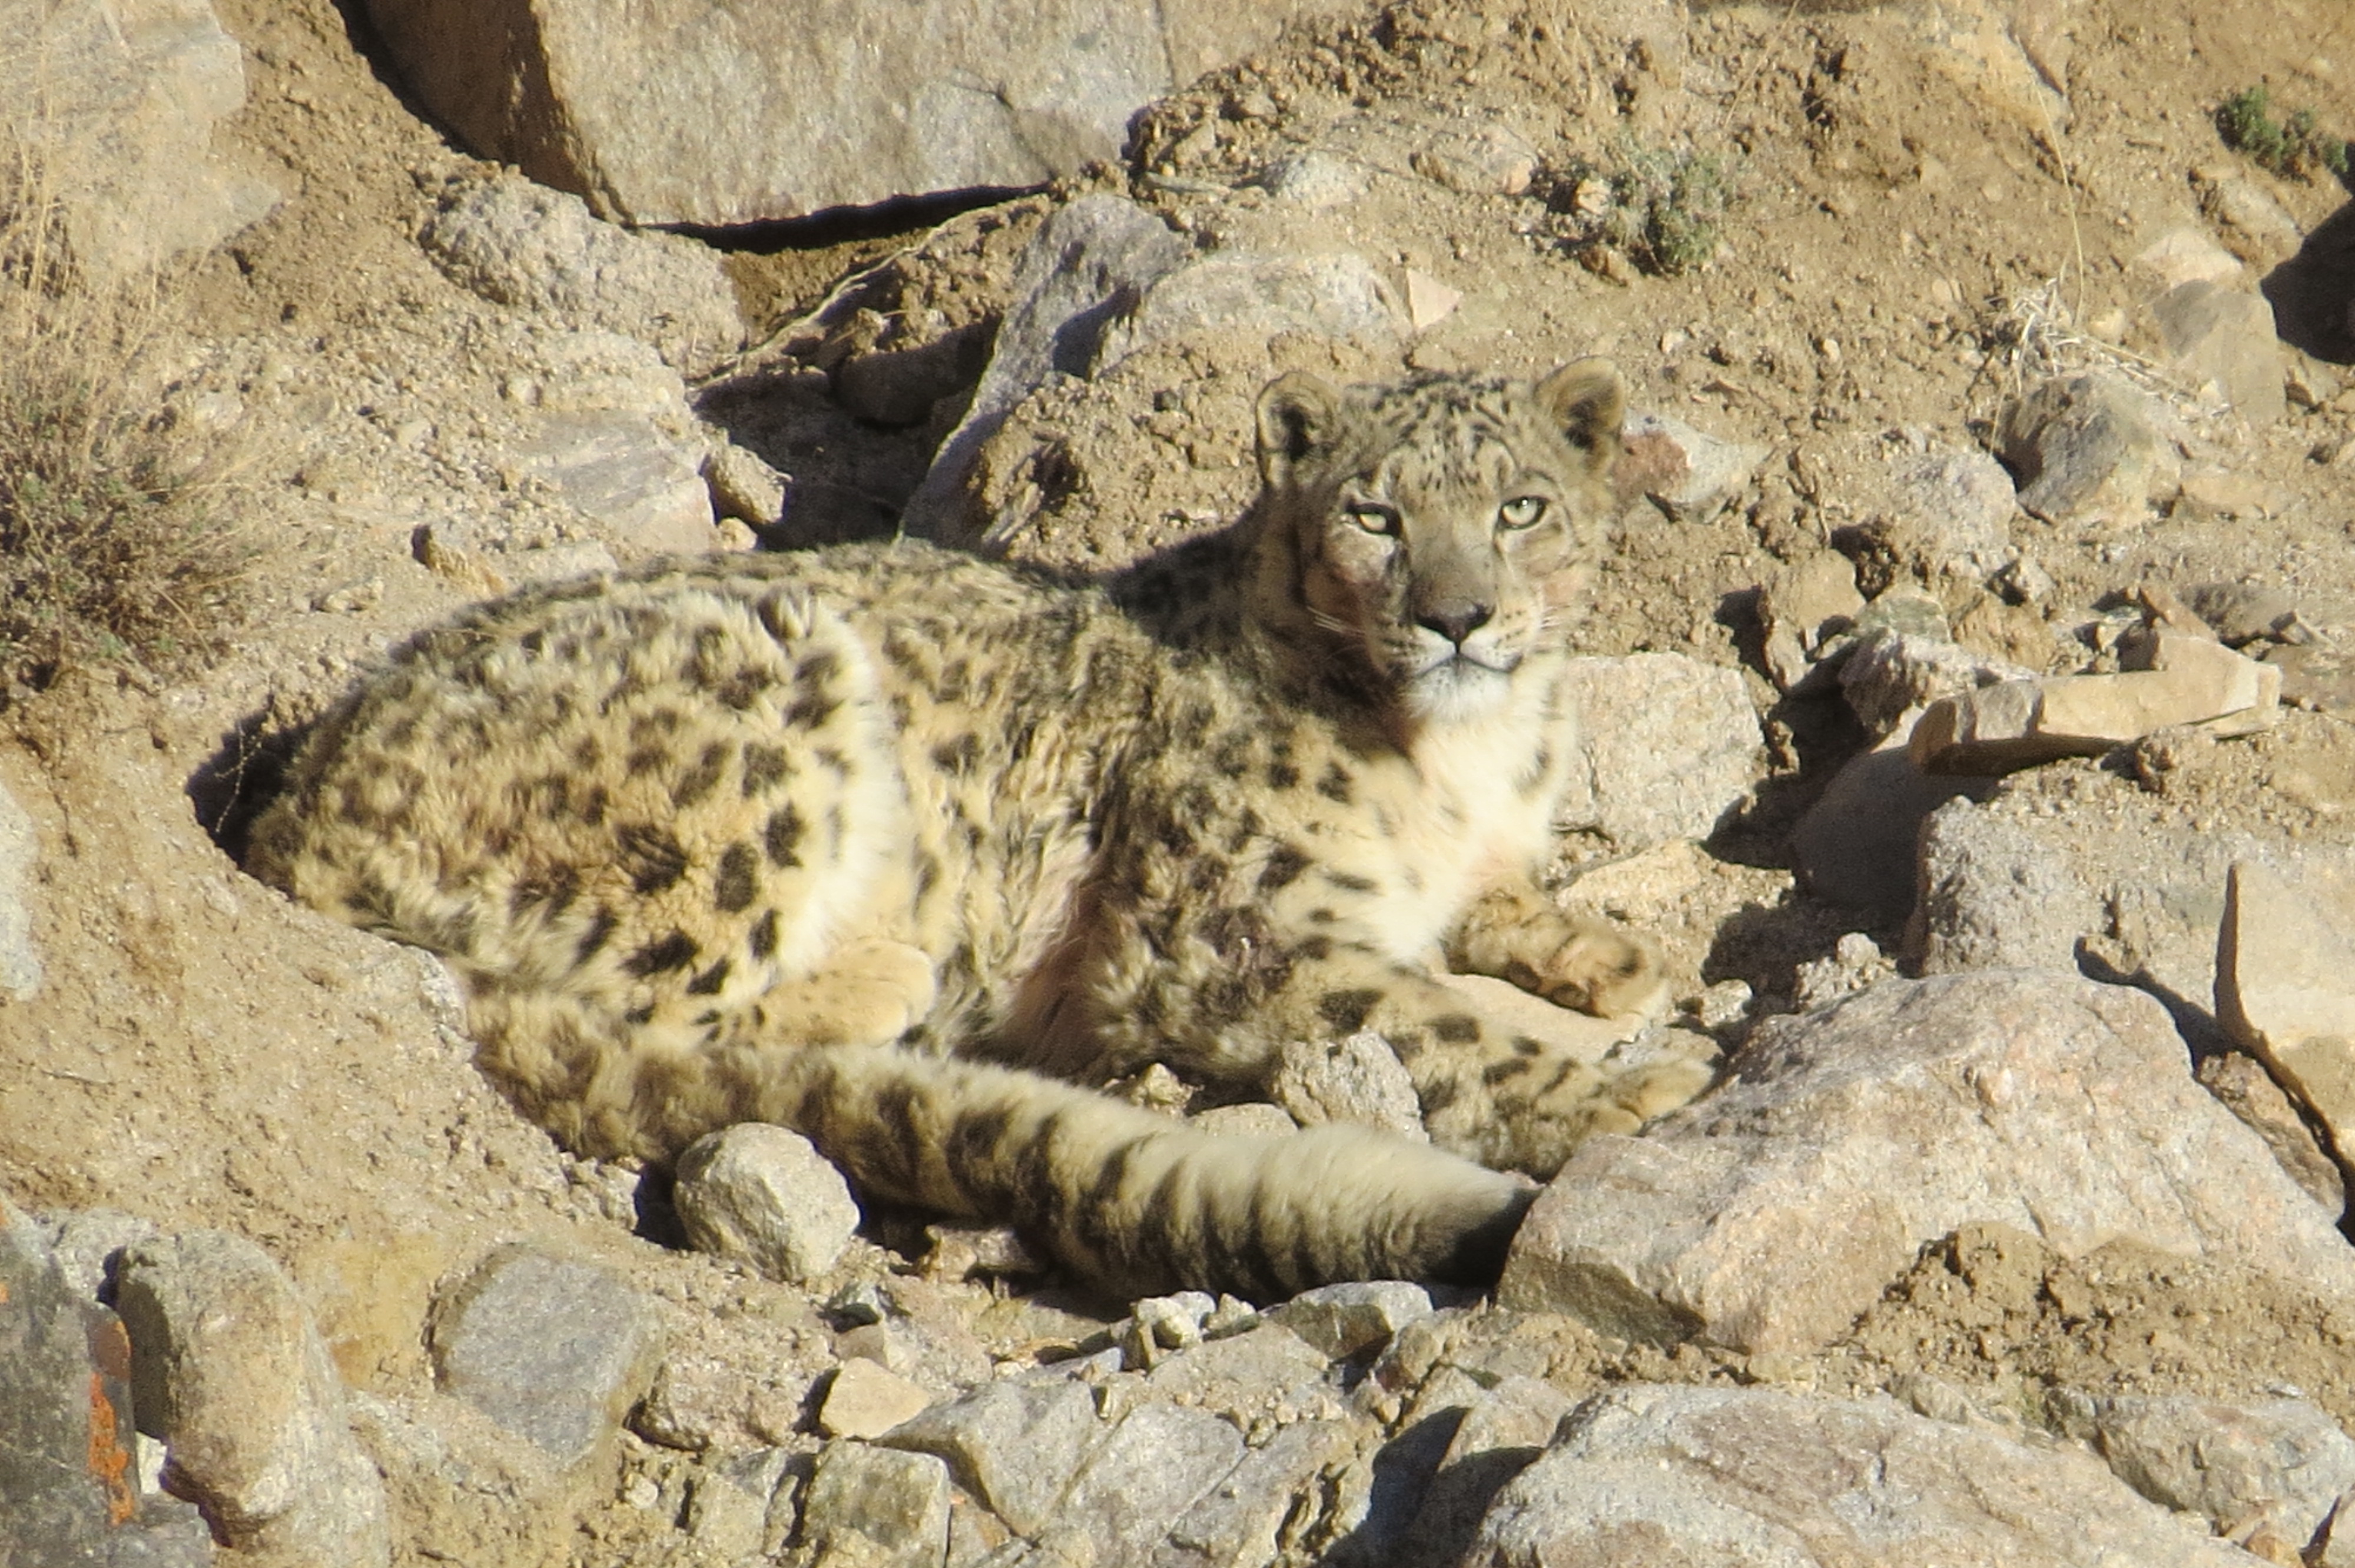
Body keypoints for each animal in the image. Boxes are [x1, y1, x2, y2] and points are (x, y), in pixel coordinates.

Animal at [246, 358, 1716, 1302]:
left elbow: (1494, 906)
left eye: (1520, 508)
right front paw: (1630, 1085)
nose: (1458, 617)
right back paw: (896, 980)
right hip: (752, 728)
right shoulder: (1227, 933)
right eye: (1374, 514)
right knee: (660, 1022)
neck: (1466, 753)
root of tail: (298, 816)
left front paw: (1610, 954)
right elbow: (1432, 1017)